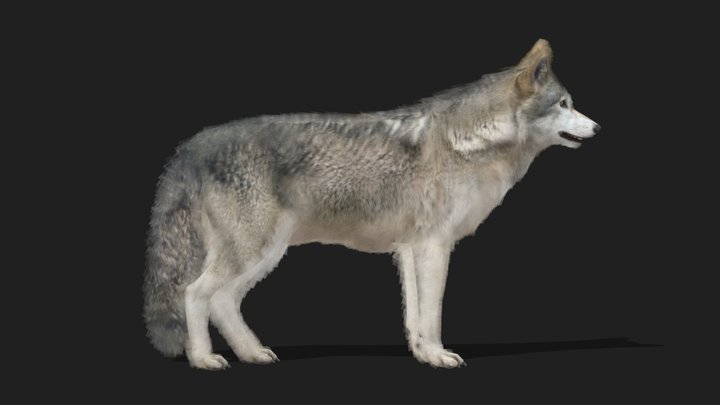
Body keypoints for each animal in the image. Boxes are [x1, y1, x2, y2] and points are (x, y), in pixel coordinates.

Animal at [144, 39, 600, 369]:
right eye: (564, 105)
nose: (597, 127)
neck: (472, 144)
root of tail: (191, 146)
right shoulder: (434, 247)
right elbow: (432, 313)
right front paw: (440, 355)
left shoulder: (411, 250)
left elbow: (415, 317)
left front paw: (424, 355)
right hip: (254, 252)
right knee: (194, 294)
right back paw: (203, 358)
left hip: (265, 254)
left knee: (223, 302)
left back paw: (252, 353)